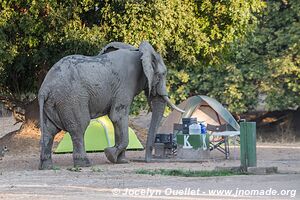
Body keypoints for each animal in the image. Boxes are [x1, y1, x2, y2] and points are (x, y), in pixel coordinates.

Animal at [37, 40, 183, 169]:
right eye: (162, 74)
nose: (146, 161)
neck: (138, 52)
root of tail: (45, 88)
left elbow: (116, 120)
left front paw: (121, 161)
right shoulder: (125, 85)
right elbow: (118, 116)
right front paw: (110, 154)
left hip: (53, 102)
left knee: (49, 130)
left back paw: (47, 166)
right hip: (72, 99)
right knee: (78, 127)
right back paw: (85, 164)